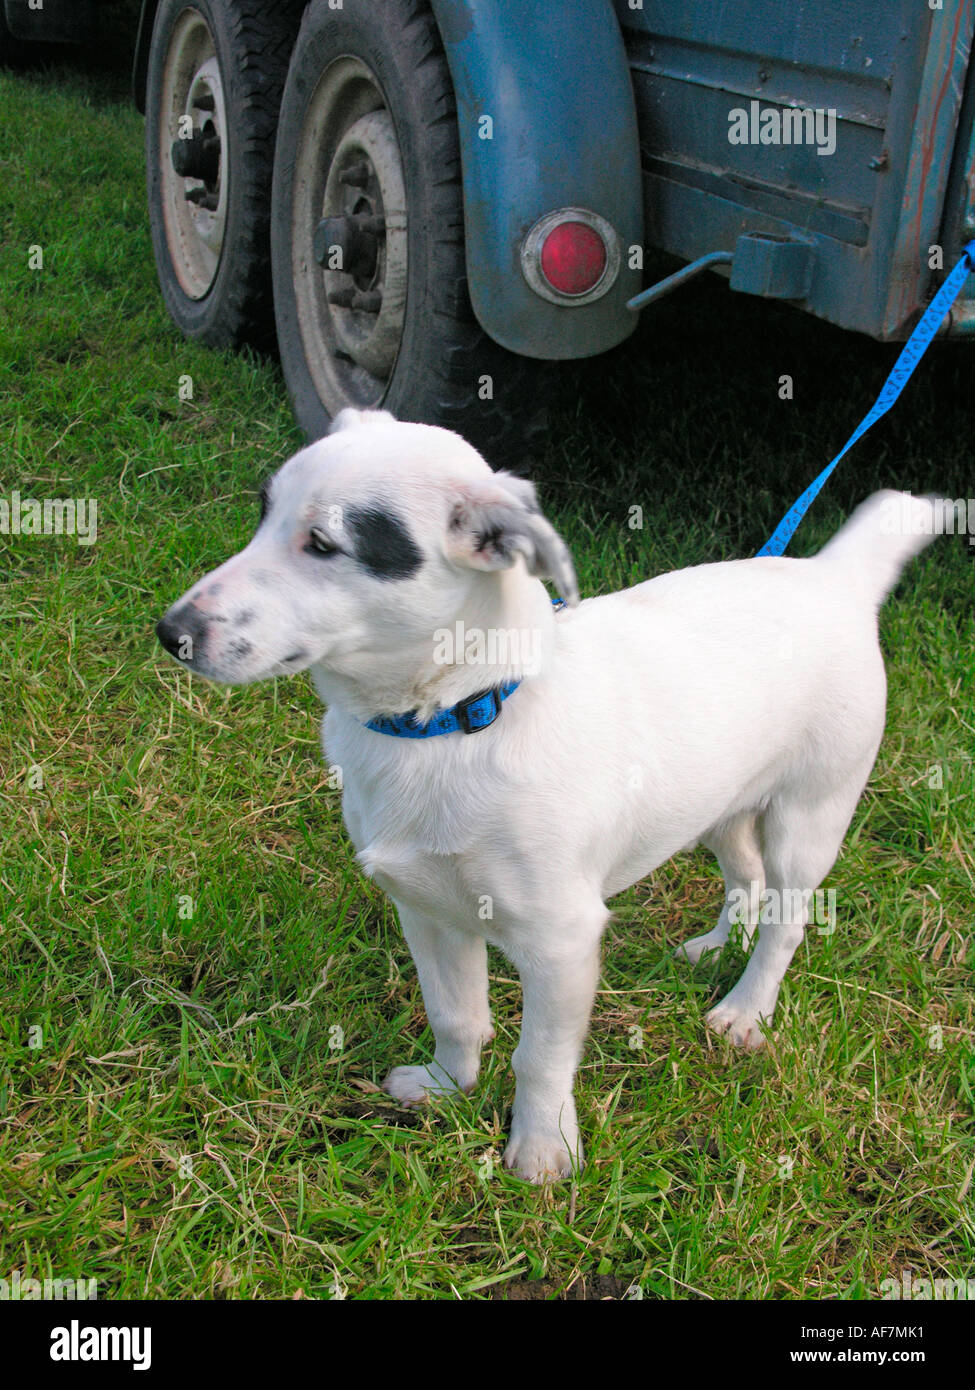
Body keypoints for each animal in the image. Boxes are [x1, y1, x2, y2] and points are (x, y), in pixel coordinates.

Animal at [155, 405, 940, 1178]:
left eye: (322, 544)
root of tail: (831, 577)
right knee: (744, 877)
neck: (454, 720)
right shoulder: (427, 910)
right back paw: (718, 947)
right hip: (720, 804)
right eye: (262, 512)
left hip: (808, 818)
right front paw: (447, 1086)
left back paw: (747, 1007)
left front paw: (541, 1148)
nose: (170, 633)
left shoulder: (560, 942)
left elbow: (540, 1059)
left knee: (786, 918)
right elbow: (455, 1015)